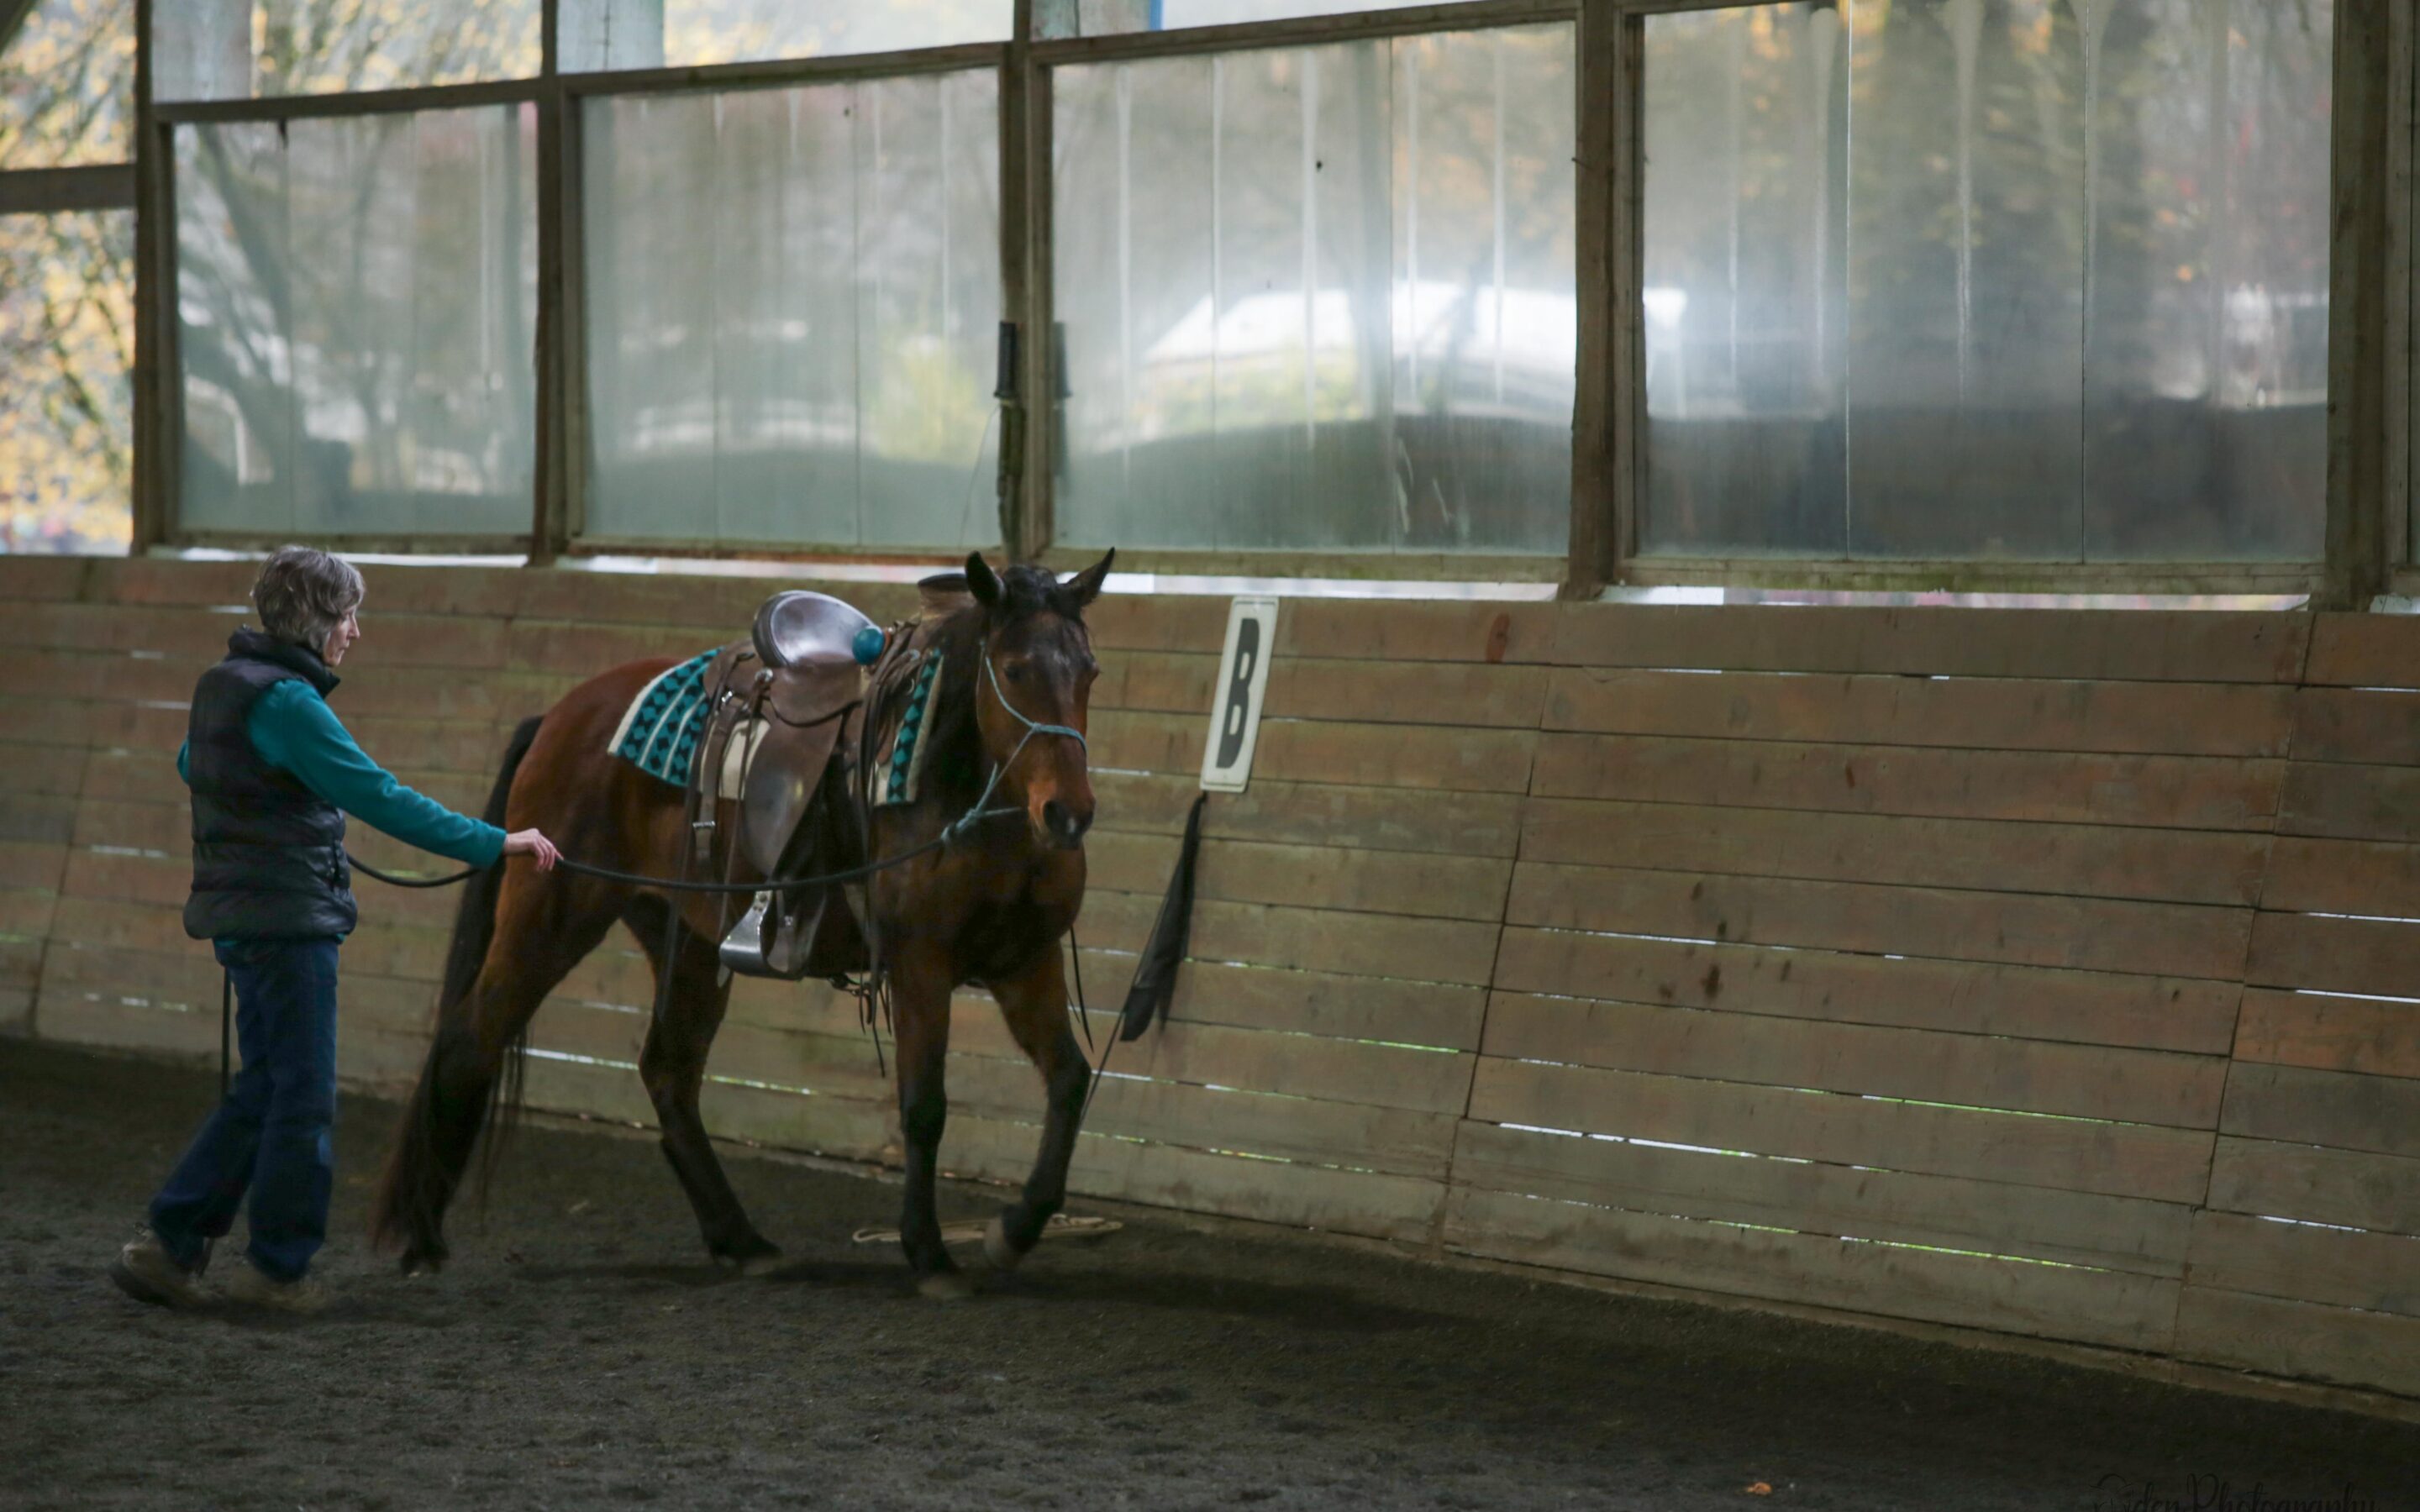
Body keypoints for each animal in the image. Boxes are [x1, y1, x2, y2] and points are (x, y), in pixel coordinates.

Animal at [370, 549, 1113, 1287]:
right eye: (1014, 669)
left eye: (1089, 670)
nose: (1069, 813)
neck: (952, 781)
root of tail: (558, 716)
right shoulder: (919, 963)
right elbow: (925, 1105)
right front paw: (929, 1254)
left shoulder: (1026, 960)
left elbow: (1070, 1080)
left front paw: (1014, 1230)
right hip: (548, 918)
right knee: (469, 1038)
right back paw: (424, 1237)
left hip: (687, 941)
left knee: (667, 1073)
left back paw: (740, 1237)